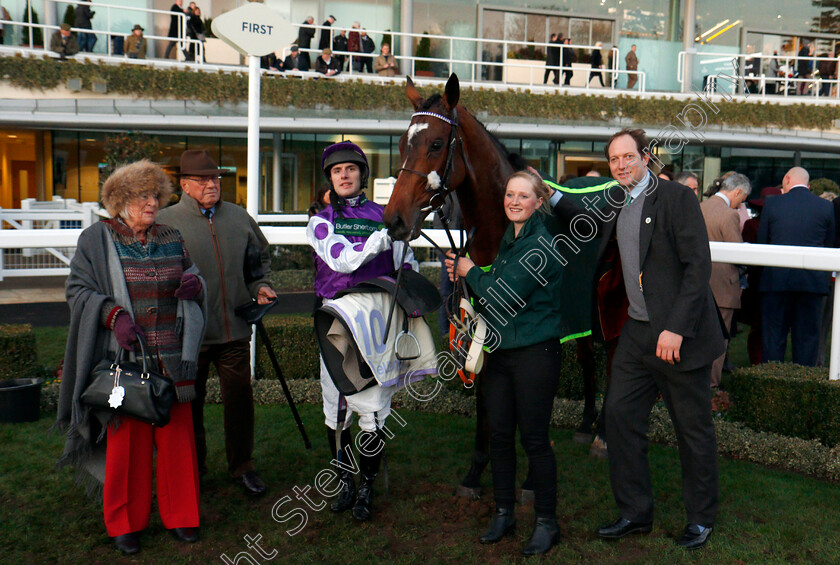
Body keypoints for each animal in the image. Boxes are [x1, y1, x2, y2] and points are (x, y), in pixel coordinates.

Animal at [380, 74, 604, 494]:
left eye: (436, 143)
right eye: (402, 143)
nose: (394, 220)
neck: (503, 229)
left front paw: (530, 477)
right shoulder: (483, 315)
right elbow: (486, 387)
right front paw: (477, 467)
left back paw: (603, 433)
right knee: (587, 356)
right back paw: (586, 424)